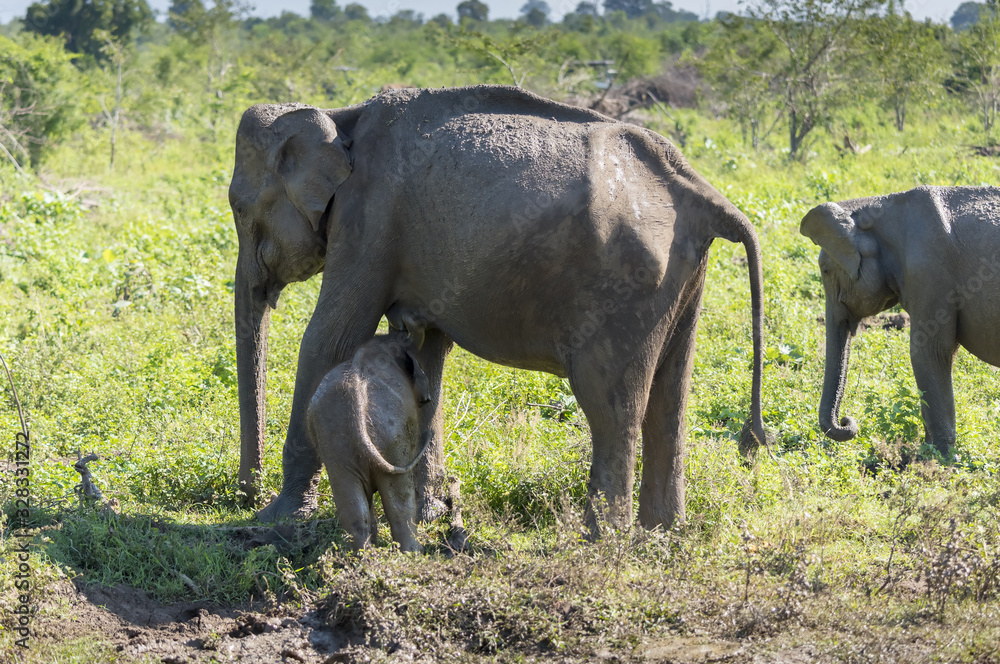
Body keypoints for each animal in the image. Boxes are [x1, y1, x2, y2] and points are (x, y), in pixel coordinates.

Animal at [306, 330, 431, 552]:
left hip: (336, 447)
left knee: (352, 507)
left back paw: (364, 555)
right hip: (392, 438)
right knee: (400, 500)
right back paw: (414, 552)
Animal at [800, 185, 1000, 455]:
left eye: (825, 270)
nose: (847, 420)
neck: (879, 204)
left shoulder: (928, 272)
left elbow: (929, 350)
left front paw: (938, 457)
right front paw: (928, 452)